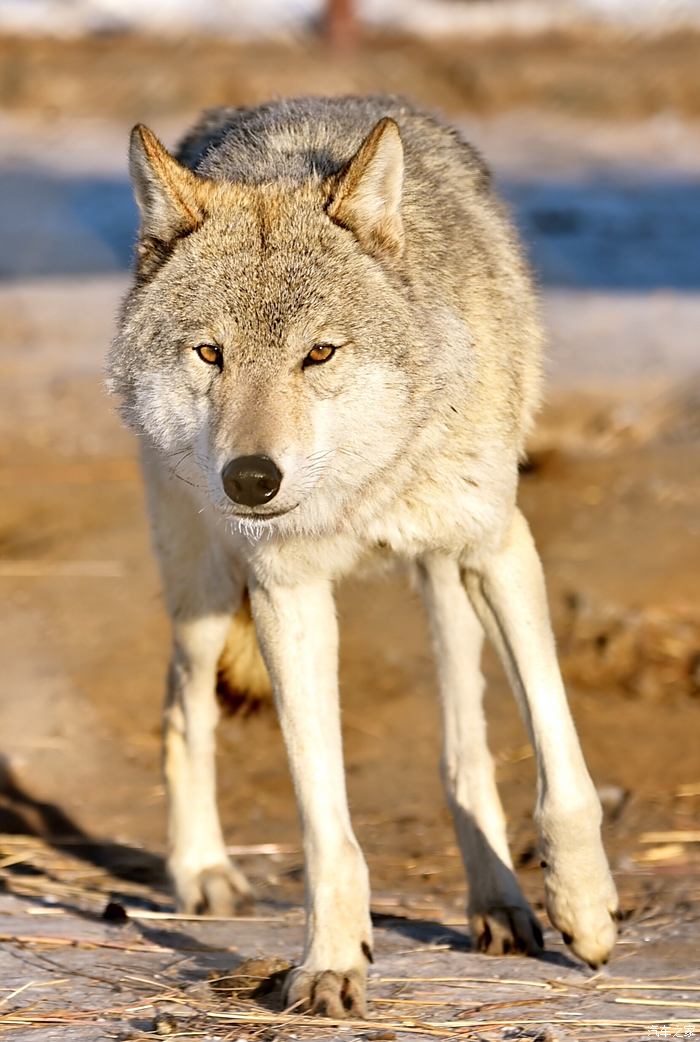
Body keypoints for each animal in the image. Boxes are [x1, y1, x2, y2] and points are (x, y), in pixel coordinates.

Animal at [106, 97, 616, 1016]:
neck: (363, 487)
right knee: (181, 710)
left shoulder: (498, 548)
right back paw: (202, 872)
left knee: (465, 748)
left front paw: (586, 912)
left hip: (446, 579)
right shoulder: (287, 593)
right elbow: (325, 824)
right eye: (210, 353)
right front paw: (333, 961)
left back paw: (501, 902)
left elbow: (561, 762)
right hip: (204, 587)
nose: (251, 478)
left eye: (319, 352)